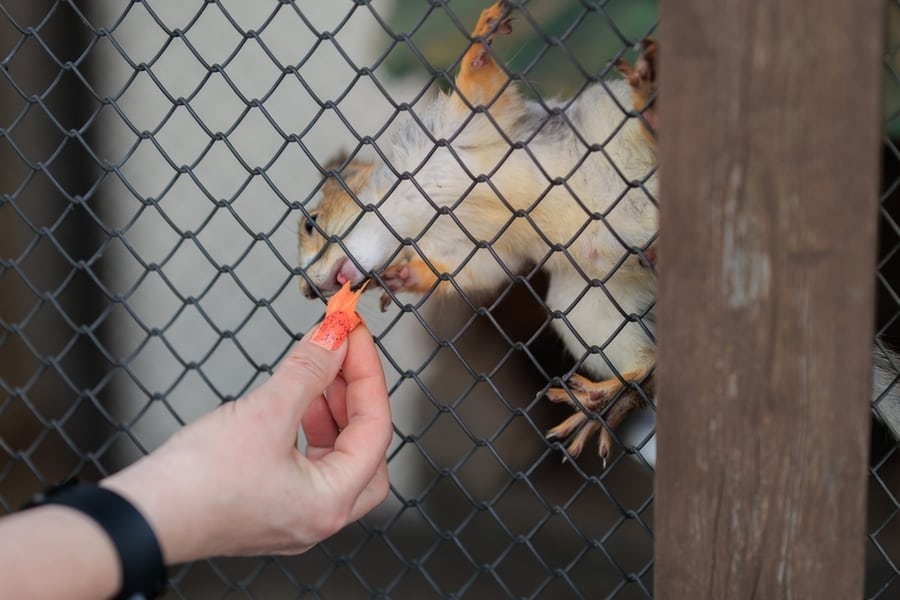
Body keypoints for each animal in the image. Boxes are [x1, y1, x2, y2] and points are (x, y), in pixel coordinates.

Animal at [298, 0, 900, 464]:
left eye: (310, 222)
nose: (306, 289)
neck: (422, 208)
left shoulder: (464, 135)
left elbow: (480, 94)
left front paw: (482, 39)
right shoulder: (475, 244)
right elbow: (478, 270)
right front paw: (403, 276)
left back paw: (653, 111)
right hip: (585, 301)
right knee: (645, 360)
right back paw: (613, 397)